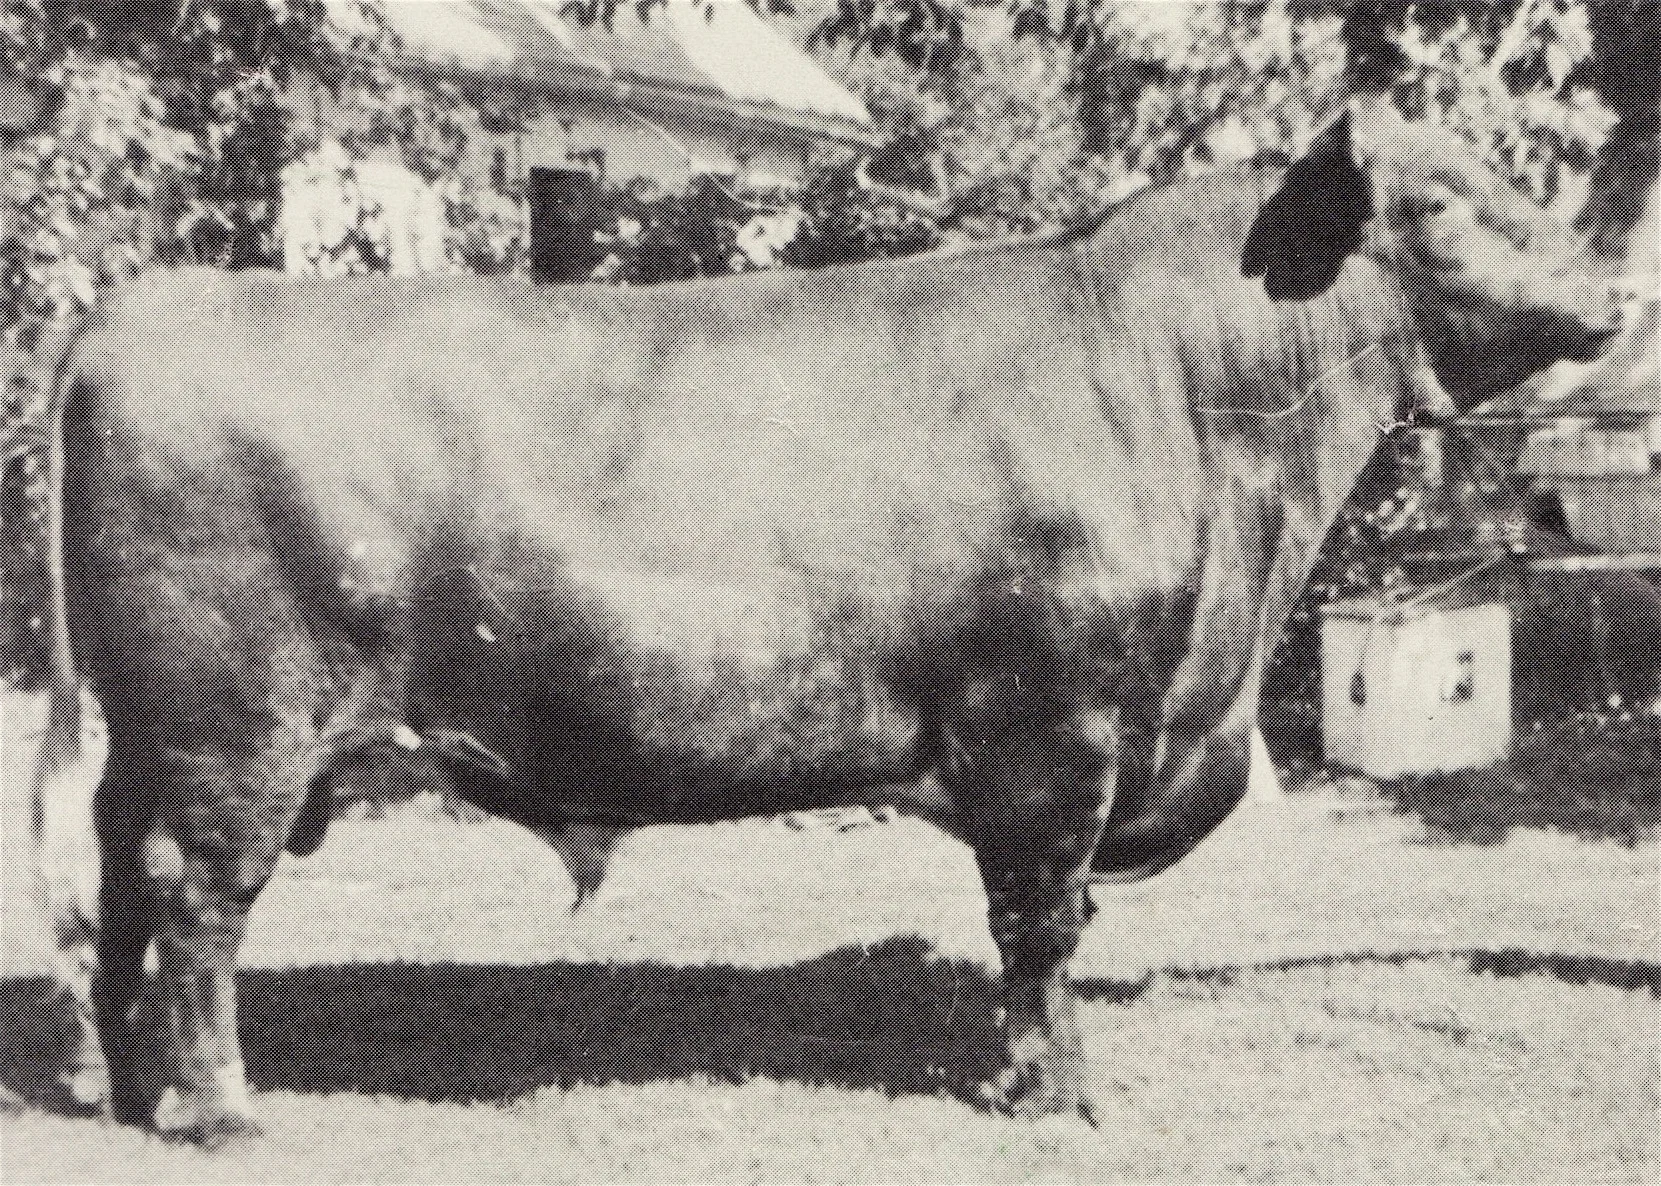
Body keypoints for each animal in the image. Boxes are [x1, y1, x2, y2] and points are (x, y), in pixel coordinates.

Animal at [22, 95, 1625, 1143]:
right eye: (1439, 202)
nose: (1613, 285)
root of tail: (138, 307)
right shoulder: (1049, 734)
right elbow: (1041, 925)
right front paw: (1055, 1093)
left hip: (151, 734)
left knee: (114, 890)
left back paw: (127, 1084)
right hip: (234, 730)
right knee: (193, 898)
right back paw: (219, 1109)